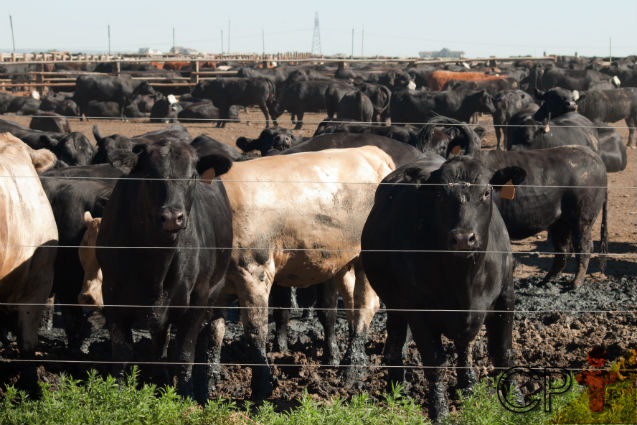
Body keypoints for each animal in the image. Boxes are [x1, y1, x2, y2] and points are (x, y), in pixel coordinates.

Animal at [98, 138, 235, 400]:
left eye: (192, 176)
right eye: (150, 175)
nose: (172, 217)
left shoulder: (198, 298)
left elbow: (184, 353)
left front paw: (185, 395)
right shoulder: (110, 294)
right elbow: (122, 351)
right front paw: (117, 392)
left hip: (219, 287)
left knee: (214, 331)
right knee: (159, 344)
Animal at [204, 146, 396, 398]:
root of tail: (370, 151)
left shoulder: (255, 272)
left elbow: (255, 331)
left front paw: (262, 387)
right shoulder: (219, 289)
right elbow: (214, 332)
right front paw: (208, 383)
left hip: (367, 258)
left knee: (366, 305)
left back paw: (349, 371)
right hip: (344, 261)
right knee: (353, 305)